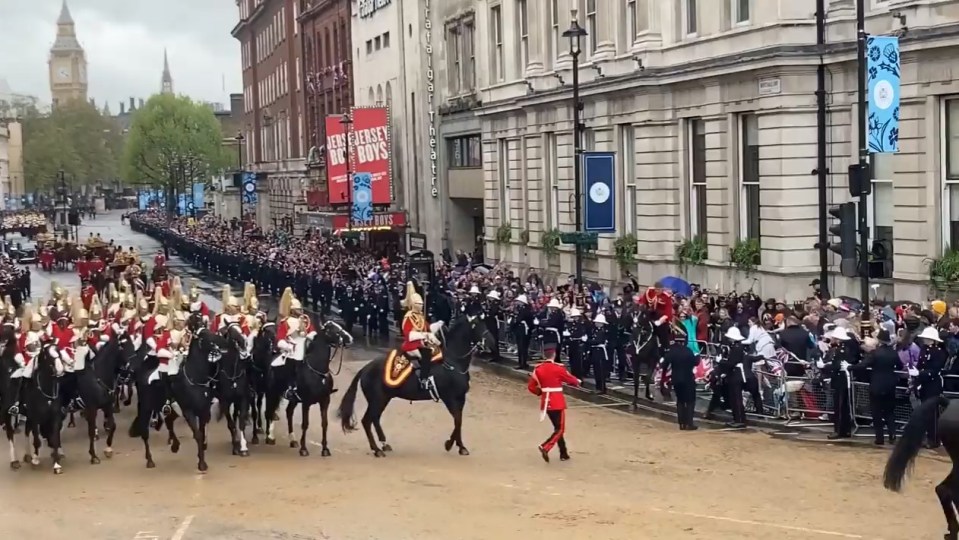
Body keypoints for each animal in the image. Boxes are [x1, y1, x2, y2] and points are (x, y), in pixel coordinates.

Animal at [211, 322, 253, 458]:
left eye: (241, 329)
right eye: (230, 331)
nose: (243, 343)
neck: (233, 373)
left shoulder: (243, 398)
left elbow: (241, 422)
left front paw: (244, 448)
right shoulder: (225, 401)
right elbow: (231, 425)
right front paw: (235, 447)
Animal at [274, 318, 352, 458]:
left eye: (340, 326)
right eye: (333, 330)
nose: (350, 339)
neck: (318, 372)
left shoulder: (325, 401)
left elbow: (324, 424)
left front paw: (325, 449)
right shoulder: (306, 402)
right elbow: (305, 424)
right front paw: (304, 449)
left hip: (294, 399)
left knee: (289, 412)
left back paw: (292, 440)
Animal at [338, 310, 496, 458]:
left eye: (486, 324)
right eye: (477, 325)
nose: (492, 343)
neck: (452, 361)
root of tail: (366, 368)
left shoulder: (460, 398)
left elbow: (459, 421)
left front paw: (460, 446)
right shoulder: (449, 398)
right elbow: (457, 421)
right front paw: (450, 445)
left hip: (383, 398)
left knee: (375, 419)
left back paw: (384, 444)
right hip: (377, 399)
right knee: (367, 421)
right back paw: (377, 450)